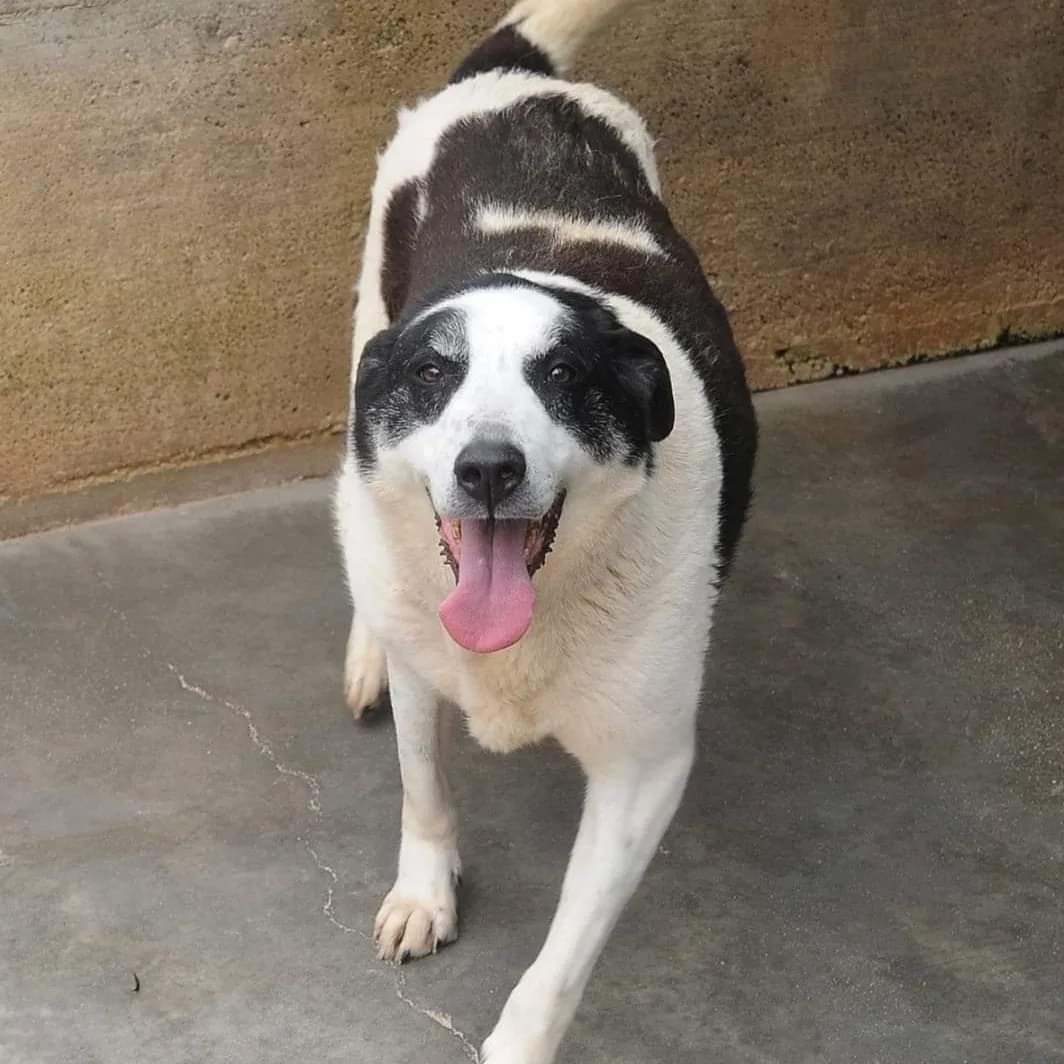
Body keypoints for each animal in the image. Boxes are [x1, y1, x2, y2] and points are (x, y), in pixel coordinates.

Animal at [335, 1, 757, 1059]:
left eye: (564, 377)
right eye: (433, 375)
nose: (488, 469)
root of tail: (516, 78)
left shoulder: (644, 767)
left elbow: (563, 959)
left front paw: (519, 1040)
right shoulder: (426, 664)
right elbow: (423, 784)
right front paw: (424, 893)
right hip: (362, 315)